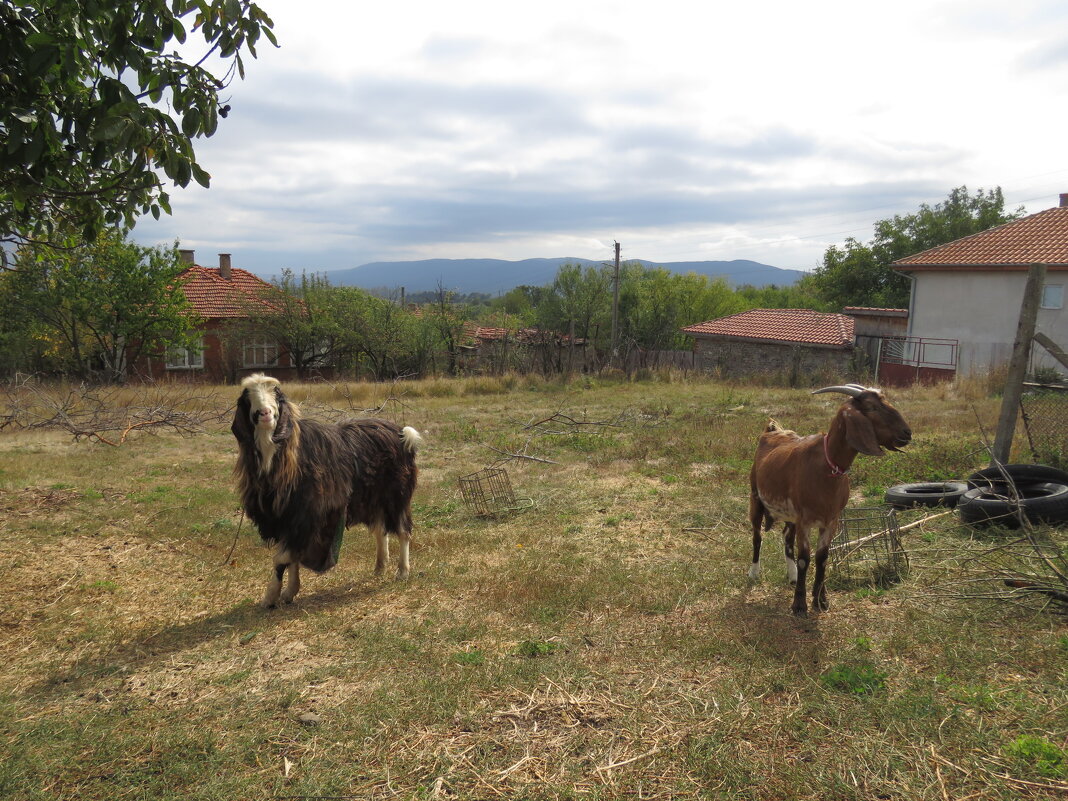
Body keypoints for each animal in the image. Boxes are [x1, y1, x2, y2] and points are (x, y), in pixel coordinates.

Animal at [232, 375, 420, 606]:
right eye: (246, 397)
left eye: (277, 394)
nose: (265, 413)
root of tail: (401, 434)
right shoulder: (287, 520)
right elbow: (292, 556)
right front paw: (289, 592)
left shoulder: (305, 517)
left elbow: (282, 557)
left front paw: (270, 597)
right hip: (372, 499)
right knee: (380, 530)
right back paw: (379, 566)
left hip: (397, 496)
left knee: (403, 530)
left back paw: (402, 572)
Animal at [751, 386, 909, 619]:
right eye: (871, 407)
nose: (907, 433)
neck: (827, 467)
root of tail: (771, 430)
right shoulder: (805, 520)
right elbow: (805, 559)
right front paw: (799, 605)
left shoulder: (831, 520)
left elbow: (822, 557)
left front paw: (821, 600)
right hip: (755, 498)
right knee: (757, 537)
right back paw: (753, 572)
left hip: (790, 515)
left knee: (787, 539)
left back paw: (792, 575)